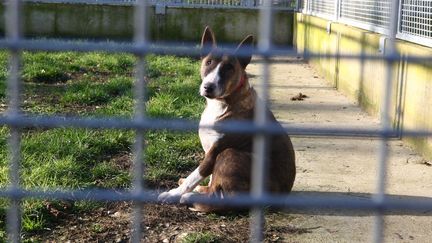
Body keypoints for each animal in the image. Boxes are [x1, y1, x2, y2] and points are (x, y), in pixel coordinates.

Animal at [159, 26, 296, 212]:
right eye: (208, 62)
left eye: (229, 67)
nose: (208, 87)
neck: (222, 104)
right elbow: (210, 179)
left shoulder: (214, 152)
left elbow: (194, 176)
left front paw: (173, 193)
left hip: (231, 153)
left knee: (225, 200)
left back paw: (190, 197)